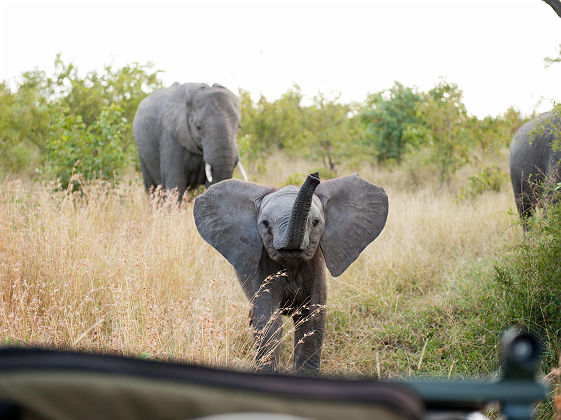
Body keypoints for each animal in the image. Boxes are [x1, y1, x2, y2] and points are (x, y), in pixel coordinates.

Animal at [191, 172, 384, 376]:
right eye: (265, 224)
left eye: (315, 223)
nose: (314, 176)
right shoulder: (263, 266)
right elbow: (269, 319)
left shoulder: (315, 266)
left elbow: (312, 318)